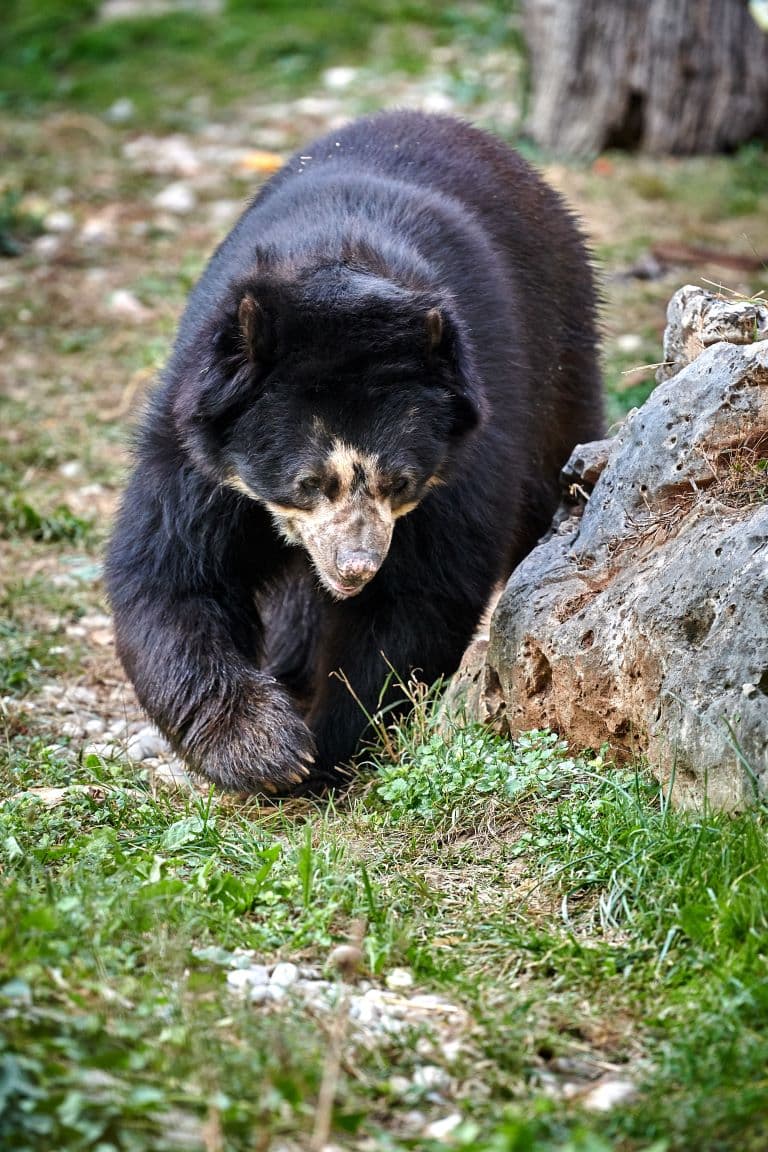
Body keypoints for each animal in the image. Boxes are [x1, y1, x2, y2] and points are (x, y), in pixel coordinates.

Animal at [105, 110, 603, 794]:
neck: (343, 265)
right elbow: (174, 572)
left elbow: (419, 597)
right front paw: (268, 749)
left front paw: (326, 748)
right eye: (308, 482)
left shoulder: (467, 454)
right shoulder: (196, 442)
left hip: (561, 352)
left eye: (400, 482)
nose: (356, 569)